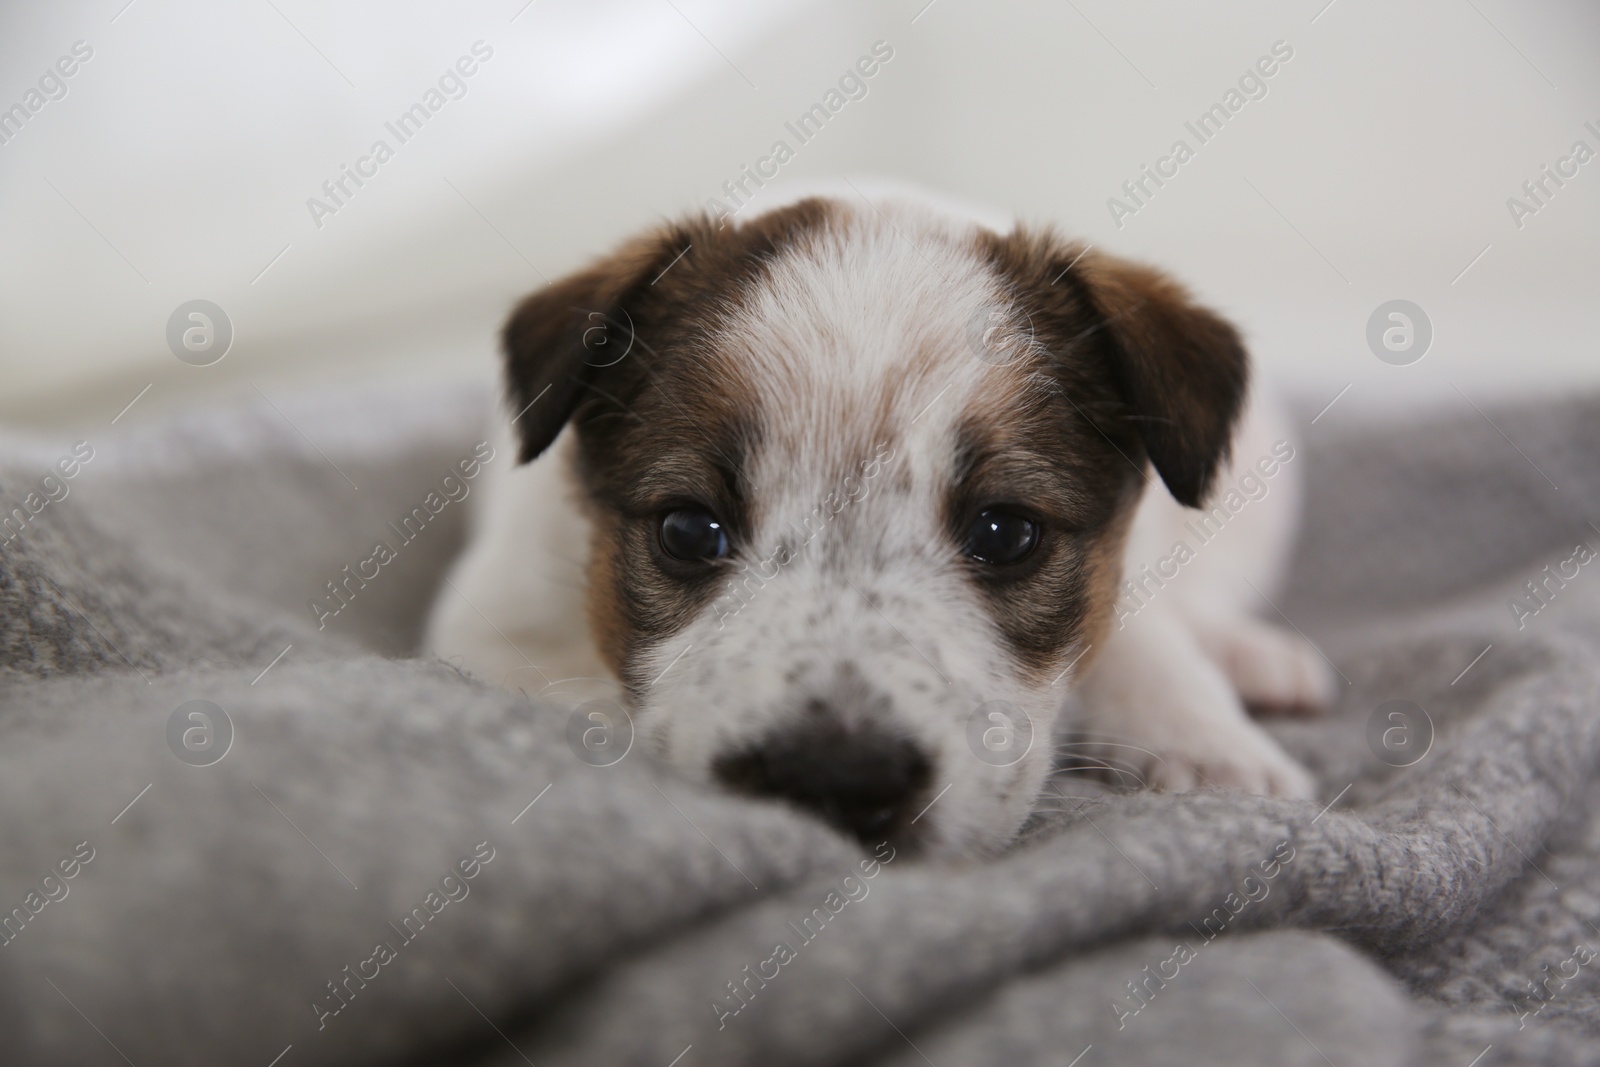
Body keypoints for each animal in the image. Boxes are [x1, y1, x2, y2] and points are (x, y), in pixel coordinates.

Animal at [422, 189, 1324, 857]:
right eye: (687, 531)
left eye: (1005, 533)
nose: (834, 778)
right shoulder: (491, 631)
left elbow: (1145, 638)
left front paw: (1211, 748)